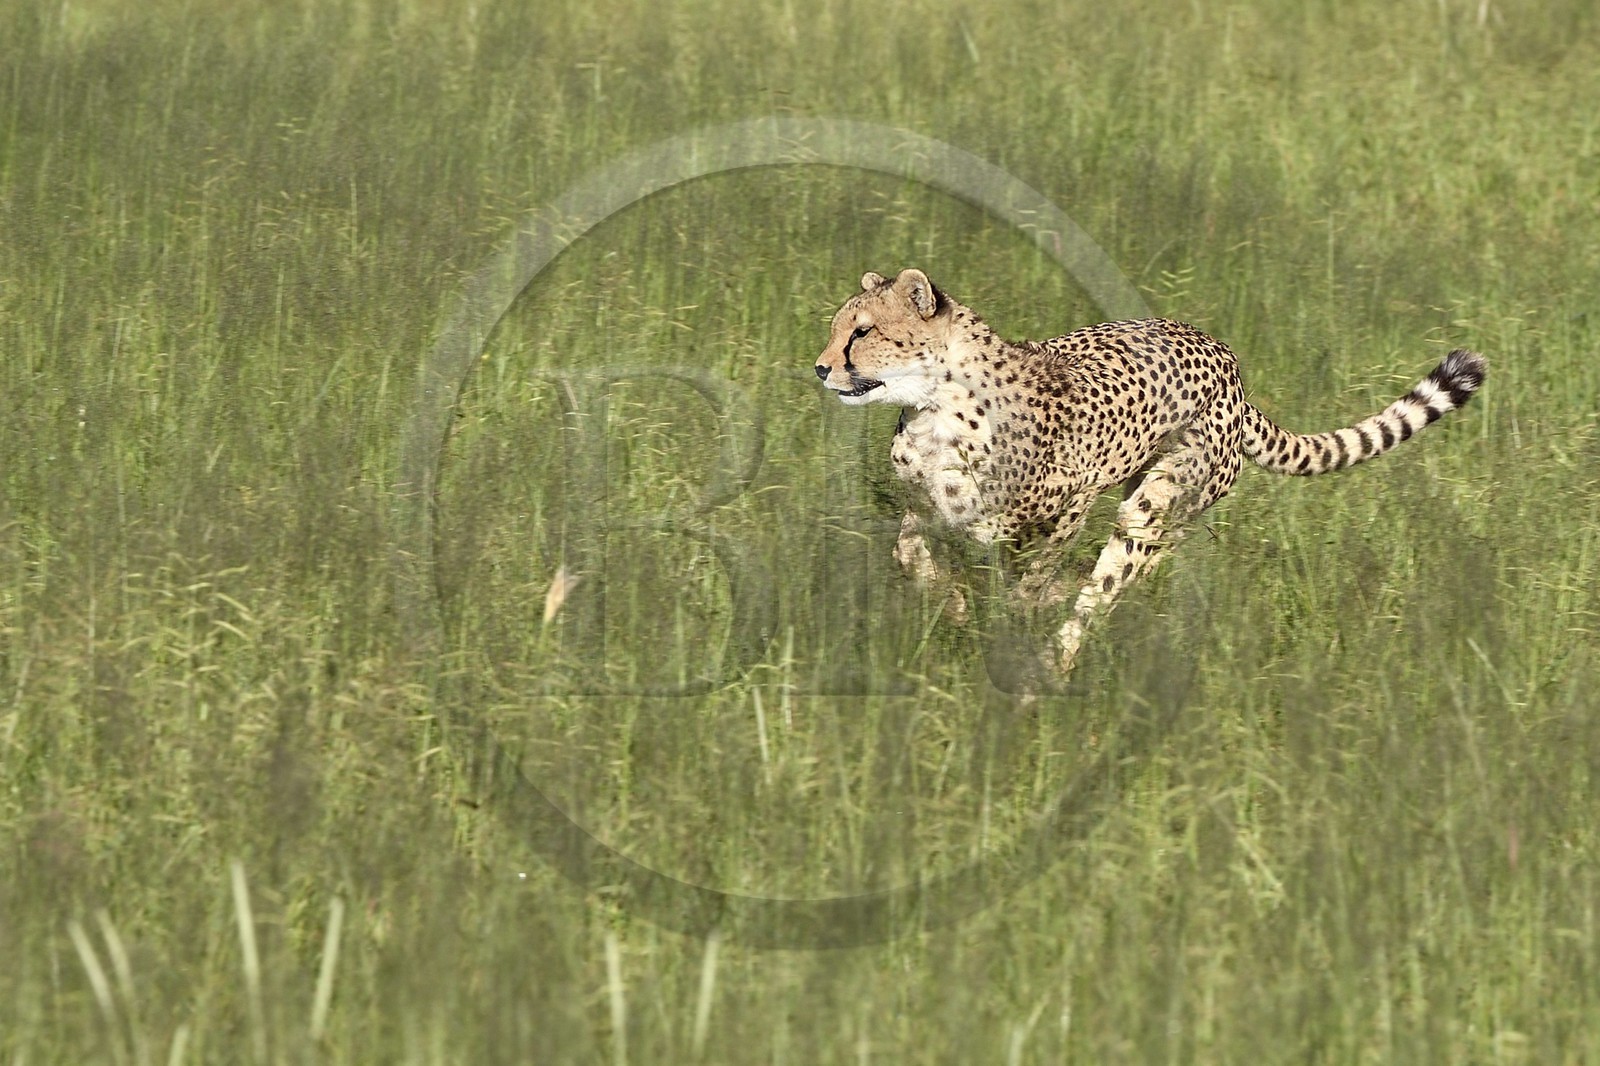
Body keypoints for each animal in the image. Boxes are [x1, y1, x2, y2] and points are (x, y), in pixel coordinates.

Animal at [813, 267, 1487, 675]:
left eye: (863, 332)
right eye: (839, 327)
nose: (820, 367)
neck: (935, 408)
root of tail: (1228, 363)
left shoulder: (1076, 499)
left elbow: (1030, 581)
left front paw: (1015, 610)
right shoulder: (927, 507)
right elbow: (910, 553)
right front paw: (952, 604)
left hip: (1154, 499)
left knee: (1120, 575)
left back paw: (1051, 666)